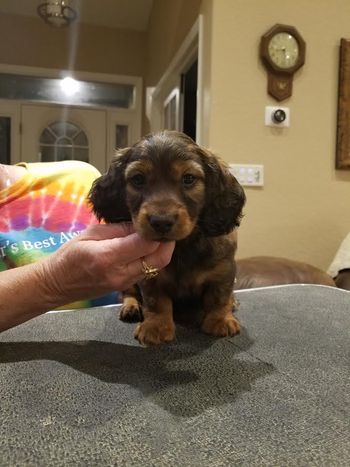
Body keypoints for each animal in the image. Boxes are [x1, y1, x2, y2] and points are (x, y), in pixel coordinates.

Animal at [89, 130, 245, 346]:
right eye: (138, 179)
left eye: (189, 178)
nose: (161, 222)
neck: (182, 247)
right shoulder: (150, 277)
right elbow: (156, 301)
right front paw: (156, 326)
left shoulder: (224, 271)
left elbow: (219, 296)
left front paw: (220, 320)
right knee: (129, 293)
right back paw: (131, 307)